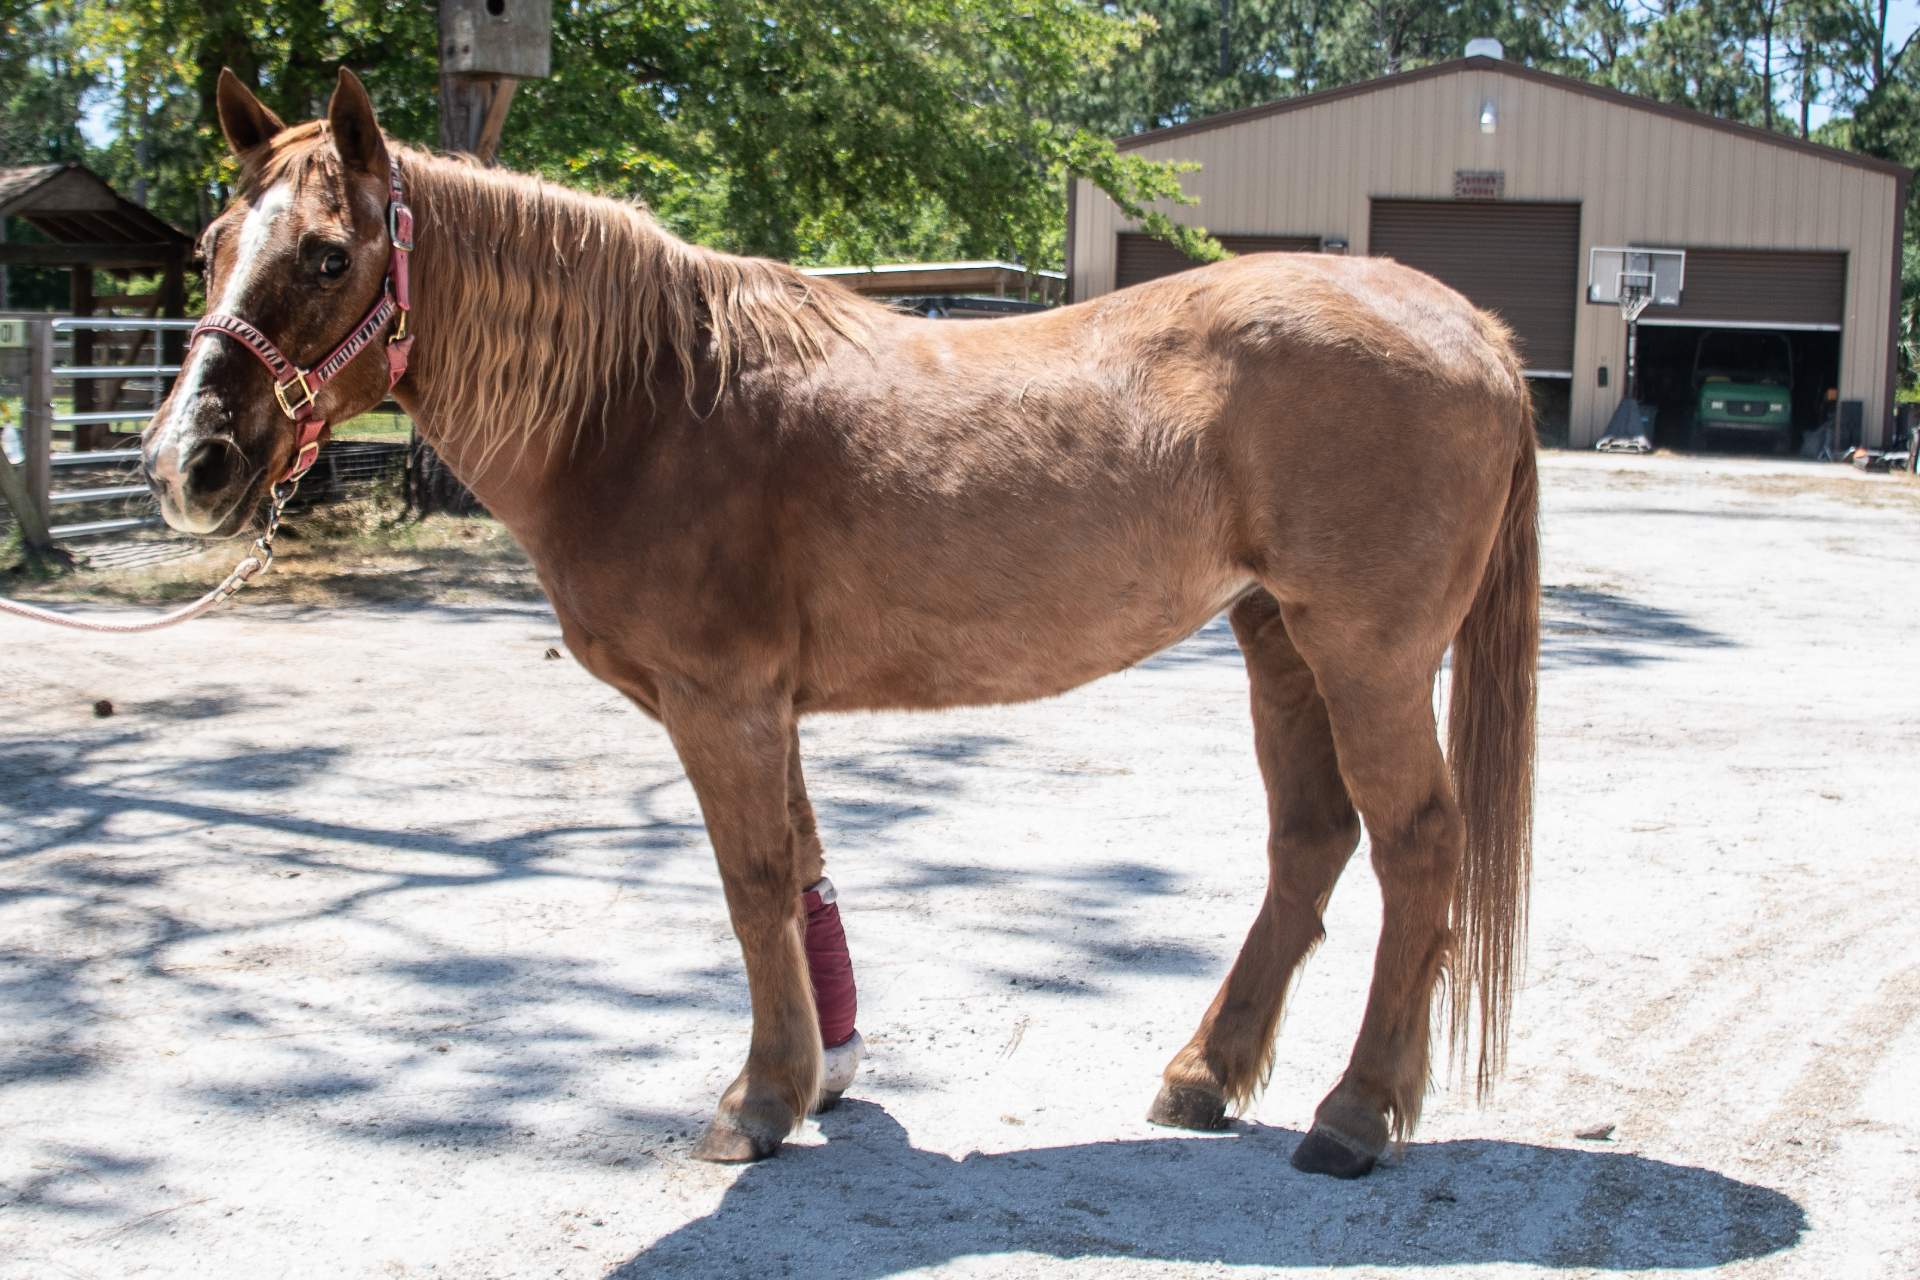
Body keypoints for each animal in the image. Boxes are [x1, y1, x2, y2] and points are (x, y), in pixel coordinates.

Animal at [142, 70, 1536, 1182]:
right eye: (213, 241)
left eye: (329, 254)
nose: (184, 462)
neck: (651, 405)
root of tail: (1468, 323)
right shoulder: (768, 705)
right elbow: (804, 866)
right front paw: (829, 1066)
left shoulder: (723, 702)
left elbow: (753, 882)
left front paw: (760, 1100)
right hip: (1276, 638)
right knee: (1312, 840)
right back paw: (1206, 1073)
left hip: (1366, 653)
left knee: (1418, 844)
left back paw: (1355, 1112)